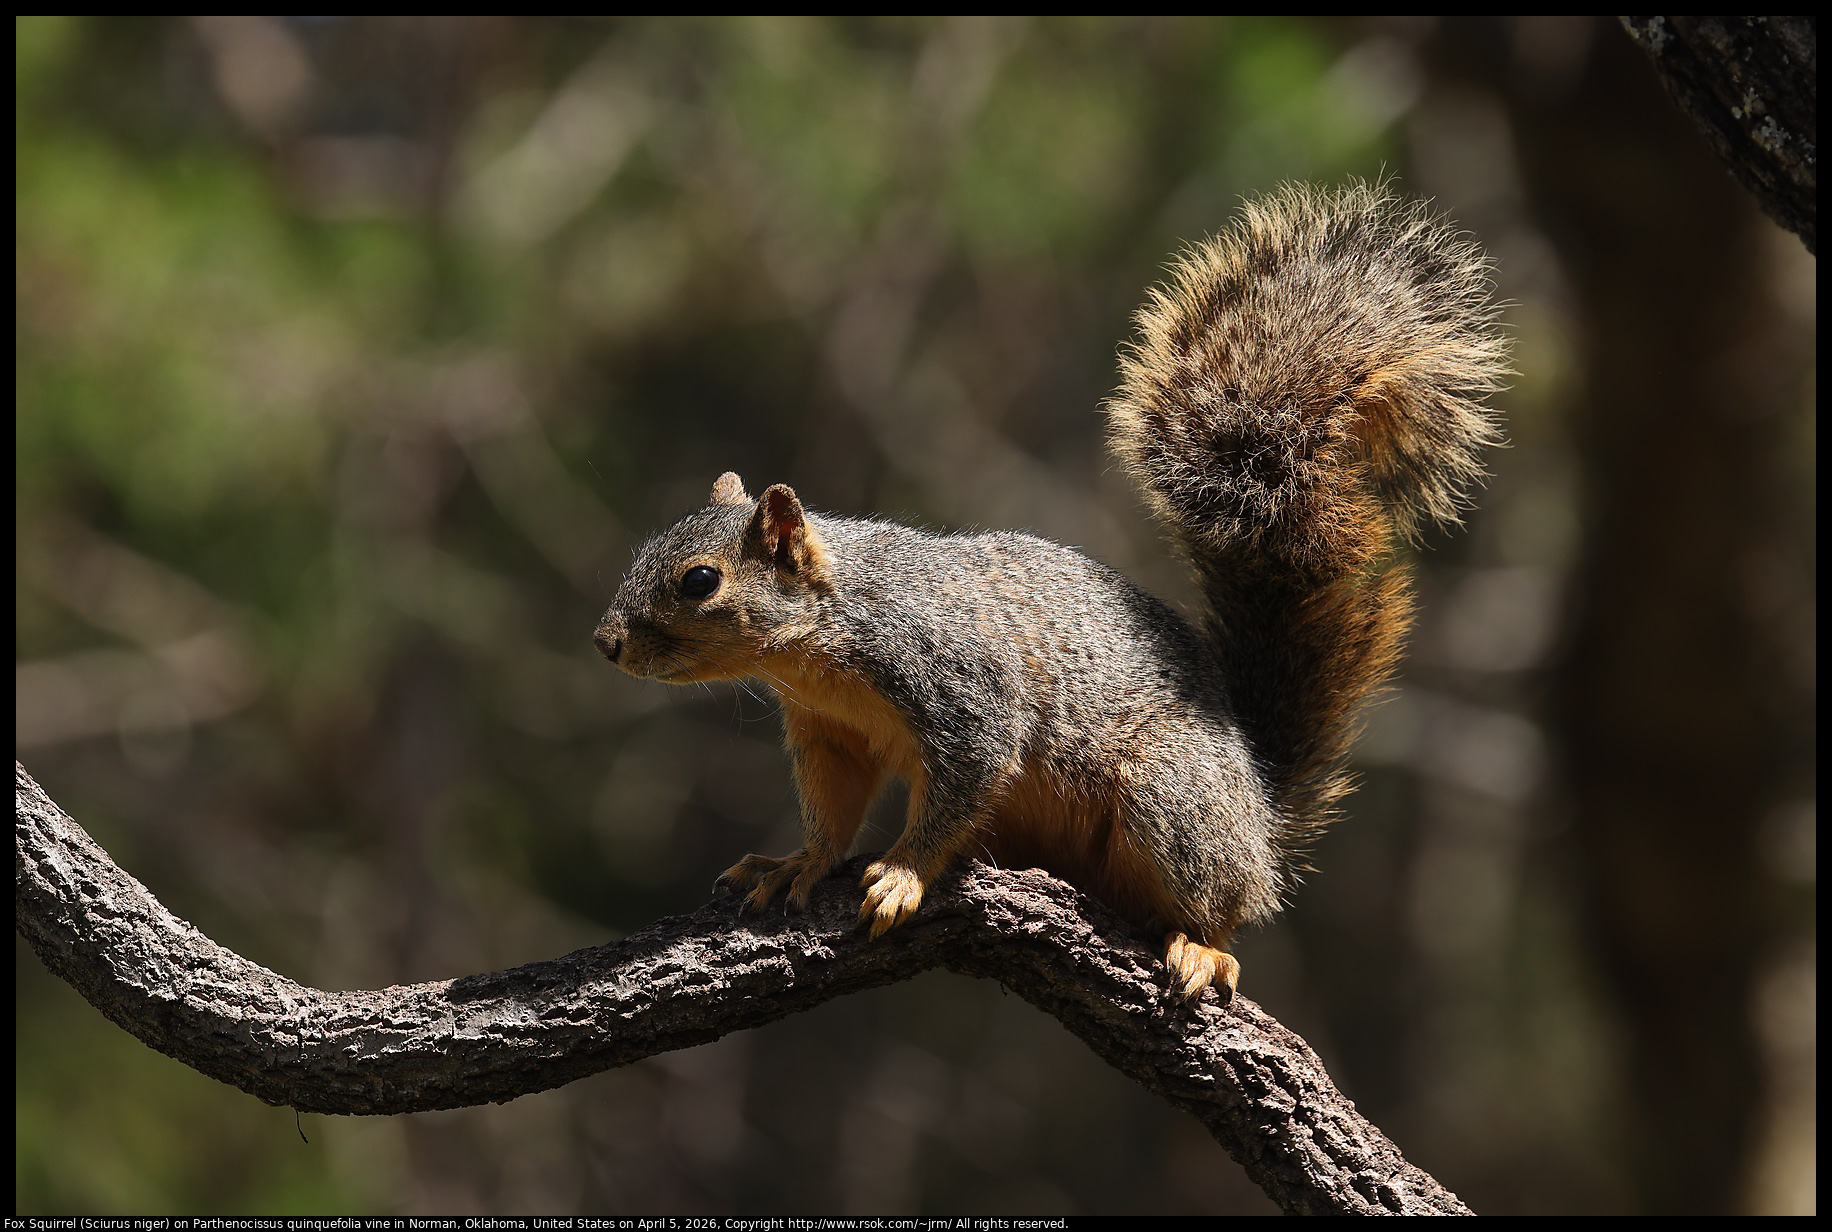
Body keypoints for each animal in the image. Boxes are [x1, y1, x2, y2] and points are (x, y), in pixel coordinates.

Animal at [593, 181, 1508, 1003]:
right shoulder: (829, 735)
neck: (822, 641)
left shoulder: (958, 686)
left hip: (1170, 797)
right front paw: (800, 863)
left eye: (700, 581)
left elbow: (964, 776)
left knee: (1219, 907)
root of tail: (1260, 814)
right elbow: (832, 808)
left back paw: (1202, 947)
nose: (607, 643)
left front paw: (902, 873)